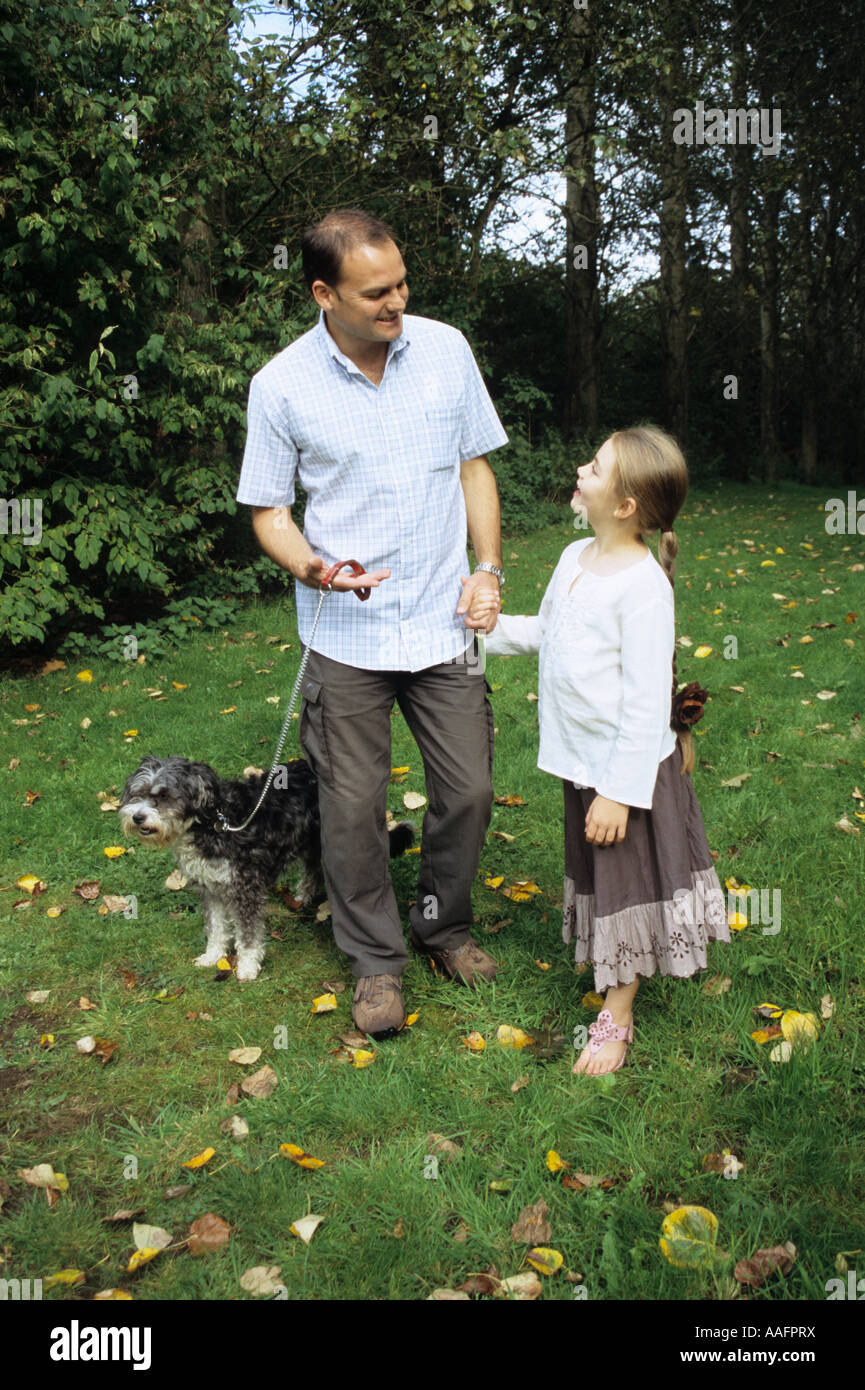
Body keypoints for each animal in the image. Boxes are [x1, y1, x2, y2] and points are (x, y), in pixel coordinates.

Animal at [119, 761, 417, 978]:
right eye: (138, 793)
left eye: (165, 796)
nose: (137, 817)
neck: (212, 821)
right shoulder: (211, 889)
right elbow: (216, 929)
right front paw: (213, 956)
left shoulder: (245, 887)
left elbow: (248, 934)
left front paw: (248, 967)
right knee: (313, 871)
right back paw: (301, 898)